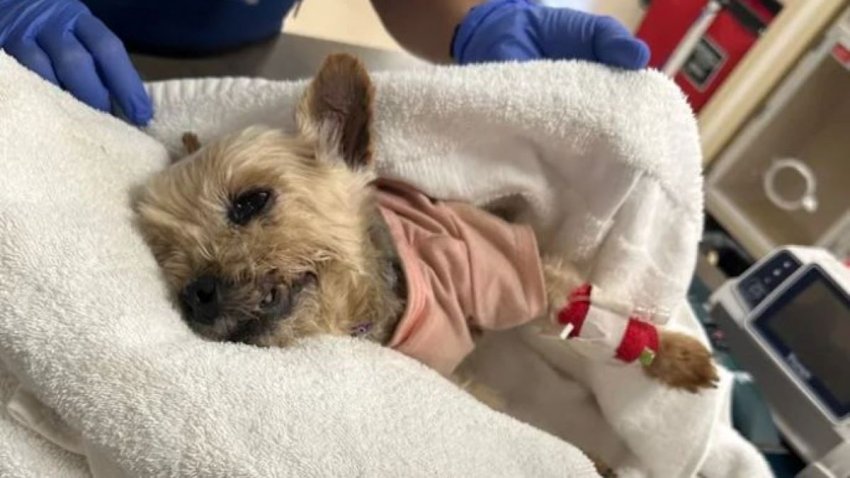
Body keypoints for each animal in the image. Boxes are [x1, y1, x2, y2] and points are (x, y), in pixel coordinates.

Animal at [134, 54, 716, 394]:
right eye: (165, 253)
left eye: (251, 201)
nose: (195, 294)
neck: (369, 316)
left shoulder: (499, 268)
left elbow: (568, 296)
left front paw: (673, 355)